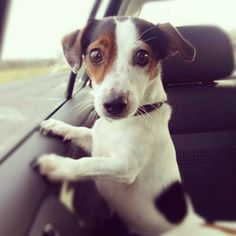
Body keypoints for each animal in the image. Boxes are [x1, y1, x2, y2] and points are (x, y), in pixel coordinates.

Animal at [37, 15, 236, 235]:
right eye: (95, 54)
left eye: (142, 56)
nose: (114, 105)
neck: (123, 123)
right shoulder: (96, 141)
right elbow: (82, 132)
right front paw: (57, 126)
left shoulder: (126, 166)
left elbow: (89, 163)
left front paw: (56, 165)